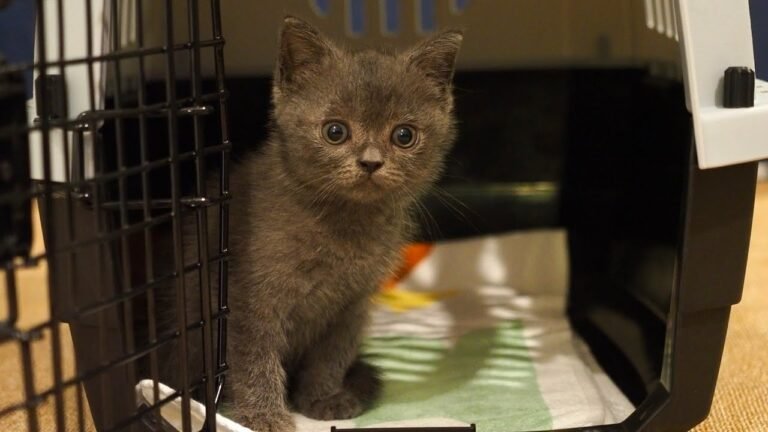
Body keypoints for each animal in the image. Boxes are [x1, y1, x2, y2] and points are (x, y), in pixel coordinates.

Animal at [225, 15, 460, 430]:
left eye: (404, 135)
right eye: (335, 131)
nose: (370, 162)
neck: (342, 226)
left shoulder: (352, 304)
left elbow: (331, 354)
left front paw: (323, 397)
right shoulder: (250, 296)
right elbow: (253, 355)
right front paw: (263, 416)